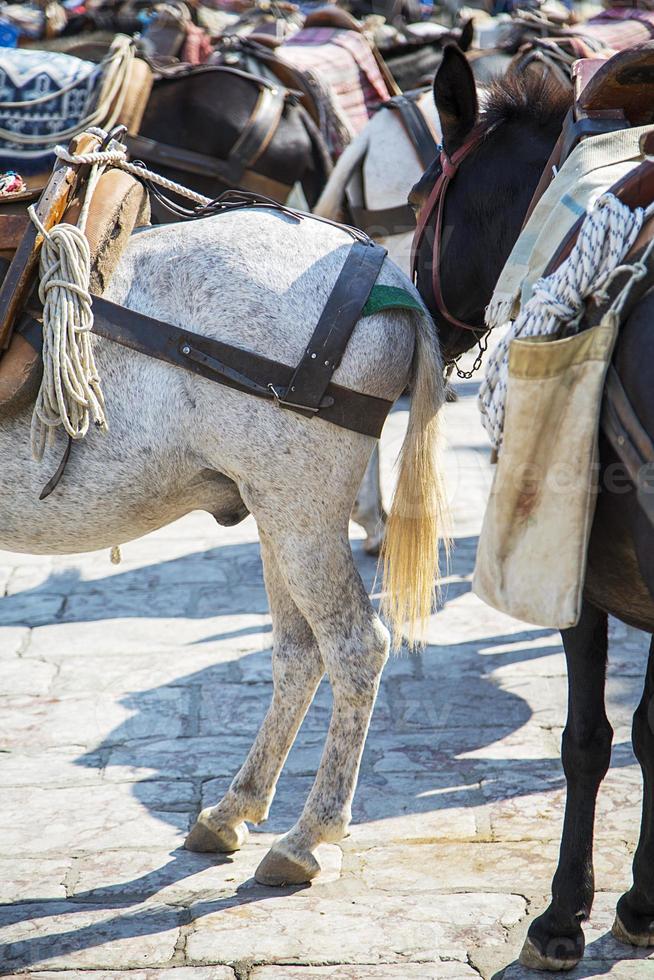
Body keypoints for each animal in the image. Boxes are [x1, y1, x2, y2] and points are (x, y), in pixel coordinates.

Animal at [0, 209, 448, 888]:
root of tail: (391, 277)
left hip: (300, 510)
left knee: (355, 646)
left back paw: (308, 835)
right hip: (276, 510)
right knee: (299, 651)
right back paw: (234, 808)